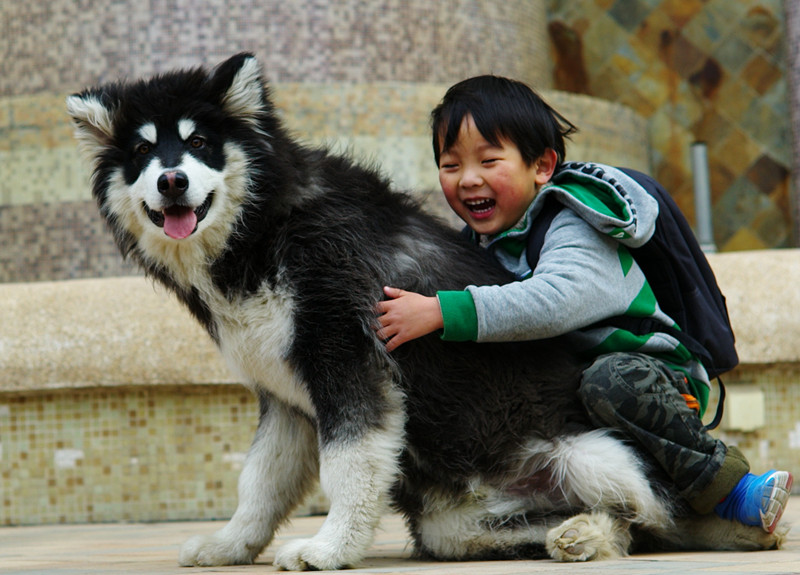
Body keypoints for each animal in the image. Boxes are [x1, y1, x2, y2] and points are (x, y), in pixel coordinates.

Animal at [65, 55, 784, 572]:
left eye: (202, 144)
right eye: (142, 153)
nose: (172, 181)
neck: (265, 228)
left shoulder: (348, 359)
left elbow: (347, 465)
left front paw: (329, 548)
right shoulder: (287, 395)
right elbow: (260, 481)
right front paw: (231, 545)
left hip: (597, 454)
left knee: (649, 515)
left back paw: (624, 525)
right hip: (454, 526)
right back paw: (578, 532)